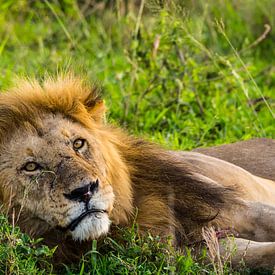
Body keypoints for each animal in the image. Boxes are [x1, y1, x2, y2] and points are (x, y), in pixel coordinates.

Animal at [0, 75, 274, 270]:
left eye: (78, 144)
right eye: (31, 167)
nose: (85, 191)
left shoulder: (232, 208)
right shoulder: (200, 252)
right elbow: (261, 255)